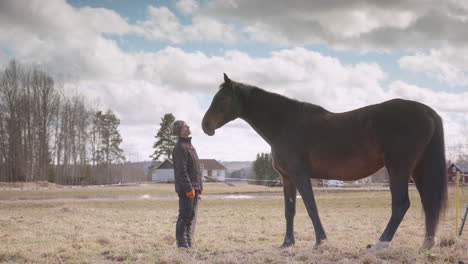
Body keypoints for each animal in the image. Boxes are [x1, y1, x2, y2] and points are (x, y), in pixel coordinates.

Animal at [200, 73, 446, 250]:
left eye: (222, 99)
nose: (205, 126)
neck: (284, 124)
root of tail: (426, 111)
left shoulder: (300, 175)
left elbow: (311, 206)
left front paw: (320, 241)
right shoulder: (287, 178)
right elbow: (290, 210)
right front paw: (287, 243)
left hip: (398, 168)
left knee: (401, 204)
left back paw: (380, 243)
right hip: (418, 169)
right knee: (427, 202)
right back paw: (427, 243)